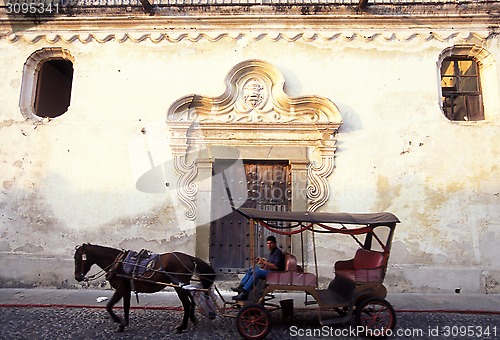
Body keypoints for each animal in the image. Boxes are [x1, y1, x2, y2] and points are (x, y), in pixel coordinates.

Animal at [73, 243, 215, 334]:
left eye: (79, 258)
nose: (77, 277)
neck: (117, 262)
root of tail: (189, 257)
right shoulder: (126, 290)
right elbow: (126, 306)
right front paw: (123, 325)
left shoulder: (120, 288)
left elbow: (109, 306)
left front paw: (118, 320)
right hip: (182, 285)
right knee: (191, 301)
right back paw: (192, 319)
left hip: (179, 286)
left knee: (186, 304)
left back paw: (182, 326)